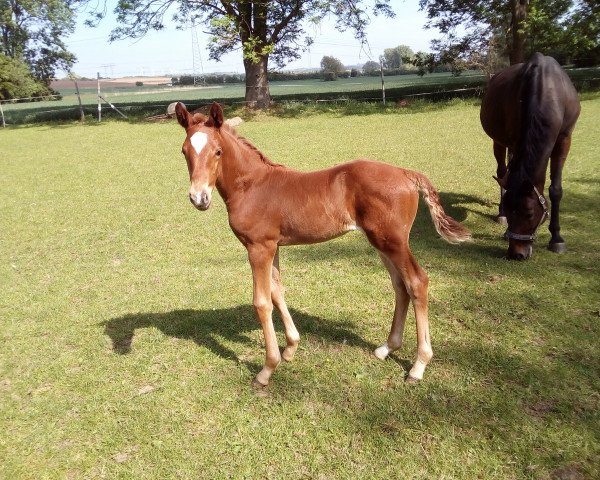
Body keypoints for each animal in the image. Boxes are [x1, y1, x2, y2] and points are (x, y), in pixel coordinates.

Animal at [172, 102, 468, 386]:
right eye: (184, 151)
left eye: (218, 151)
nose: (199, 198)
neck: (251, 185)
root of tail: (406, 173)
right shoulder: (272, 246)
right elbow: (278, 291)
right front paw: (291, 348)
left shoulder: (258, 247)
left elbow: (262, 302)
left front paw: (267, 370)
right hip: (382, 242)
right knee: (400, 285)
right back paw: (386, 348)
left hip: (393, 241)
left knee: (417, 282)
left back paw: (418, 366)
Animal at [478, 52, 580, 258]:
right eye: (511, 211)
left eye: (529, 213)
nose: (516, 254)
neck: (547, 88)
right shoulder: (516, 138)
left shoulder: (564, 140)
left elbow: (556, 189)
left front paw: (557, 238)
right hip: (499, 141)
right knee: (502, 172)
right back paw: (499, 214)